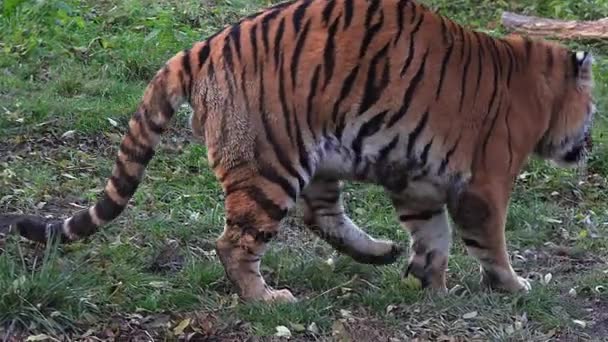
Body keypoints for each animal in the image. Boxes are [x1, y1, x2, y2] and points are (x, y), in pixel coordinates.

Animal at [13, 0, 592, 302]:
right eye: (592, 110)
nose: (589, 146)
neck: (541, 87)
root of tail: (206, 44)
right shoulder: (485, 186)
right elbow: (488, 242)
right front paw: (516, 286)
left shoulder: (420, 183)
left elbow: (434, 236)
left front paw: (428, 284)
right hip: (270, 165)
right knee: (234, 243)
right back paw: (266, 301)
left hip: (315, 155)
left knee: (321, 216)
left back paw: (377, 252)